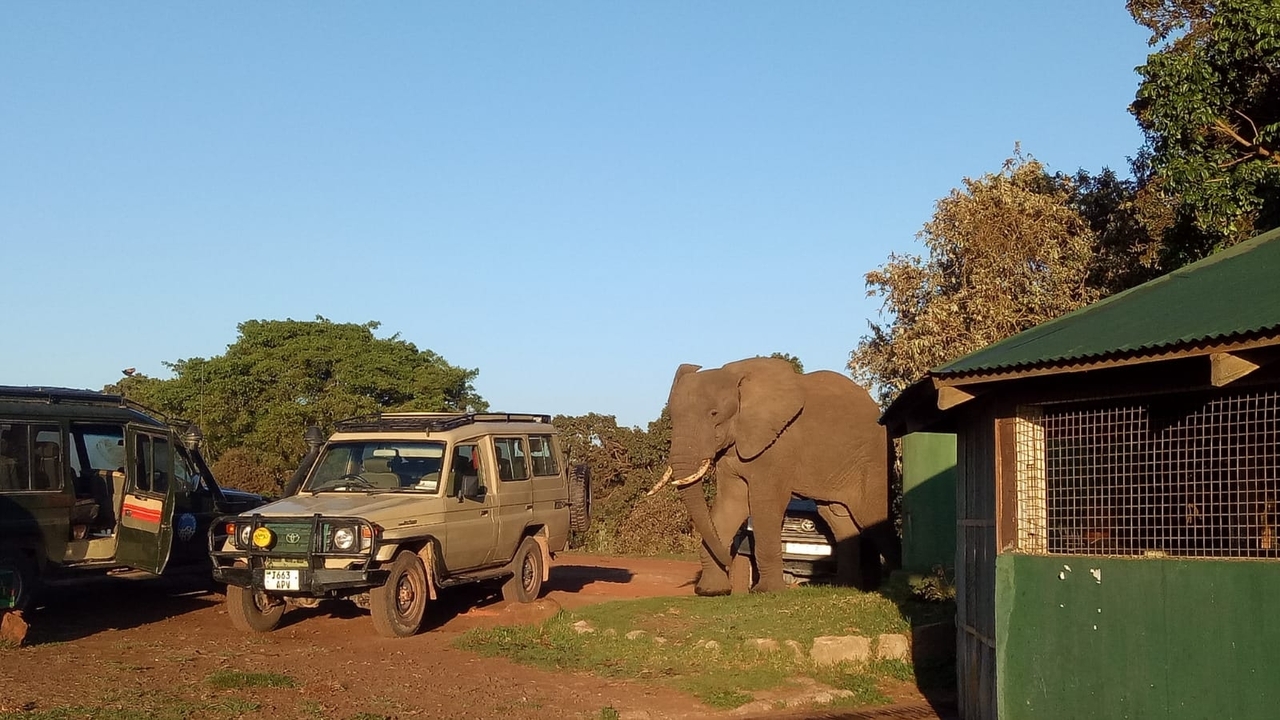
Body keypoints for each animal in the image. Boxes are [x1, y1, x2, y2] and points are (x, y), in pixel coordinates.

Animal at [650, 357, 894, 595]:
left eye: (714, 414)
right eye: (672, 418)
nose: (729, 559)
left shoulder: (777, 445)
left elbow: (765, 502)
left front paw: (767, 591)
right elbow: (731, 503)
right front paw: (710, 591)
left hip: (872, 459)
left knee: (873, 514)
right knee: (838, 518)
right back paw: (845, 586)